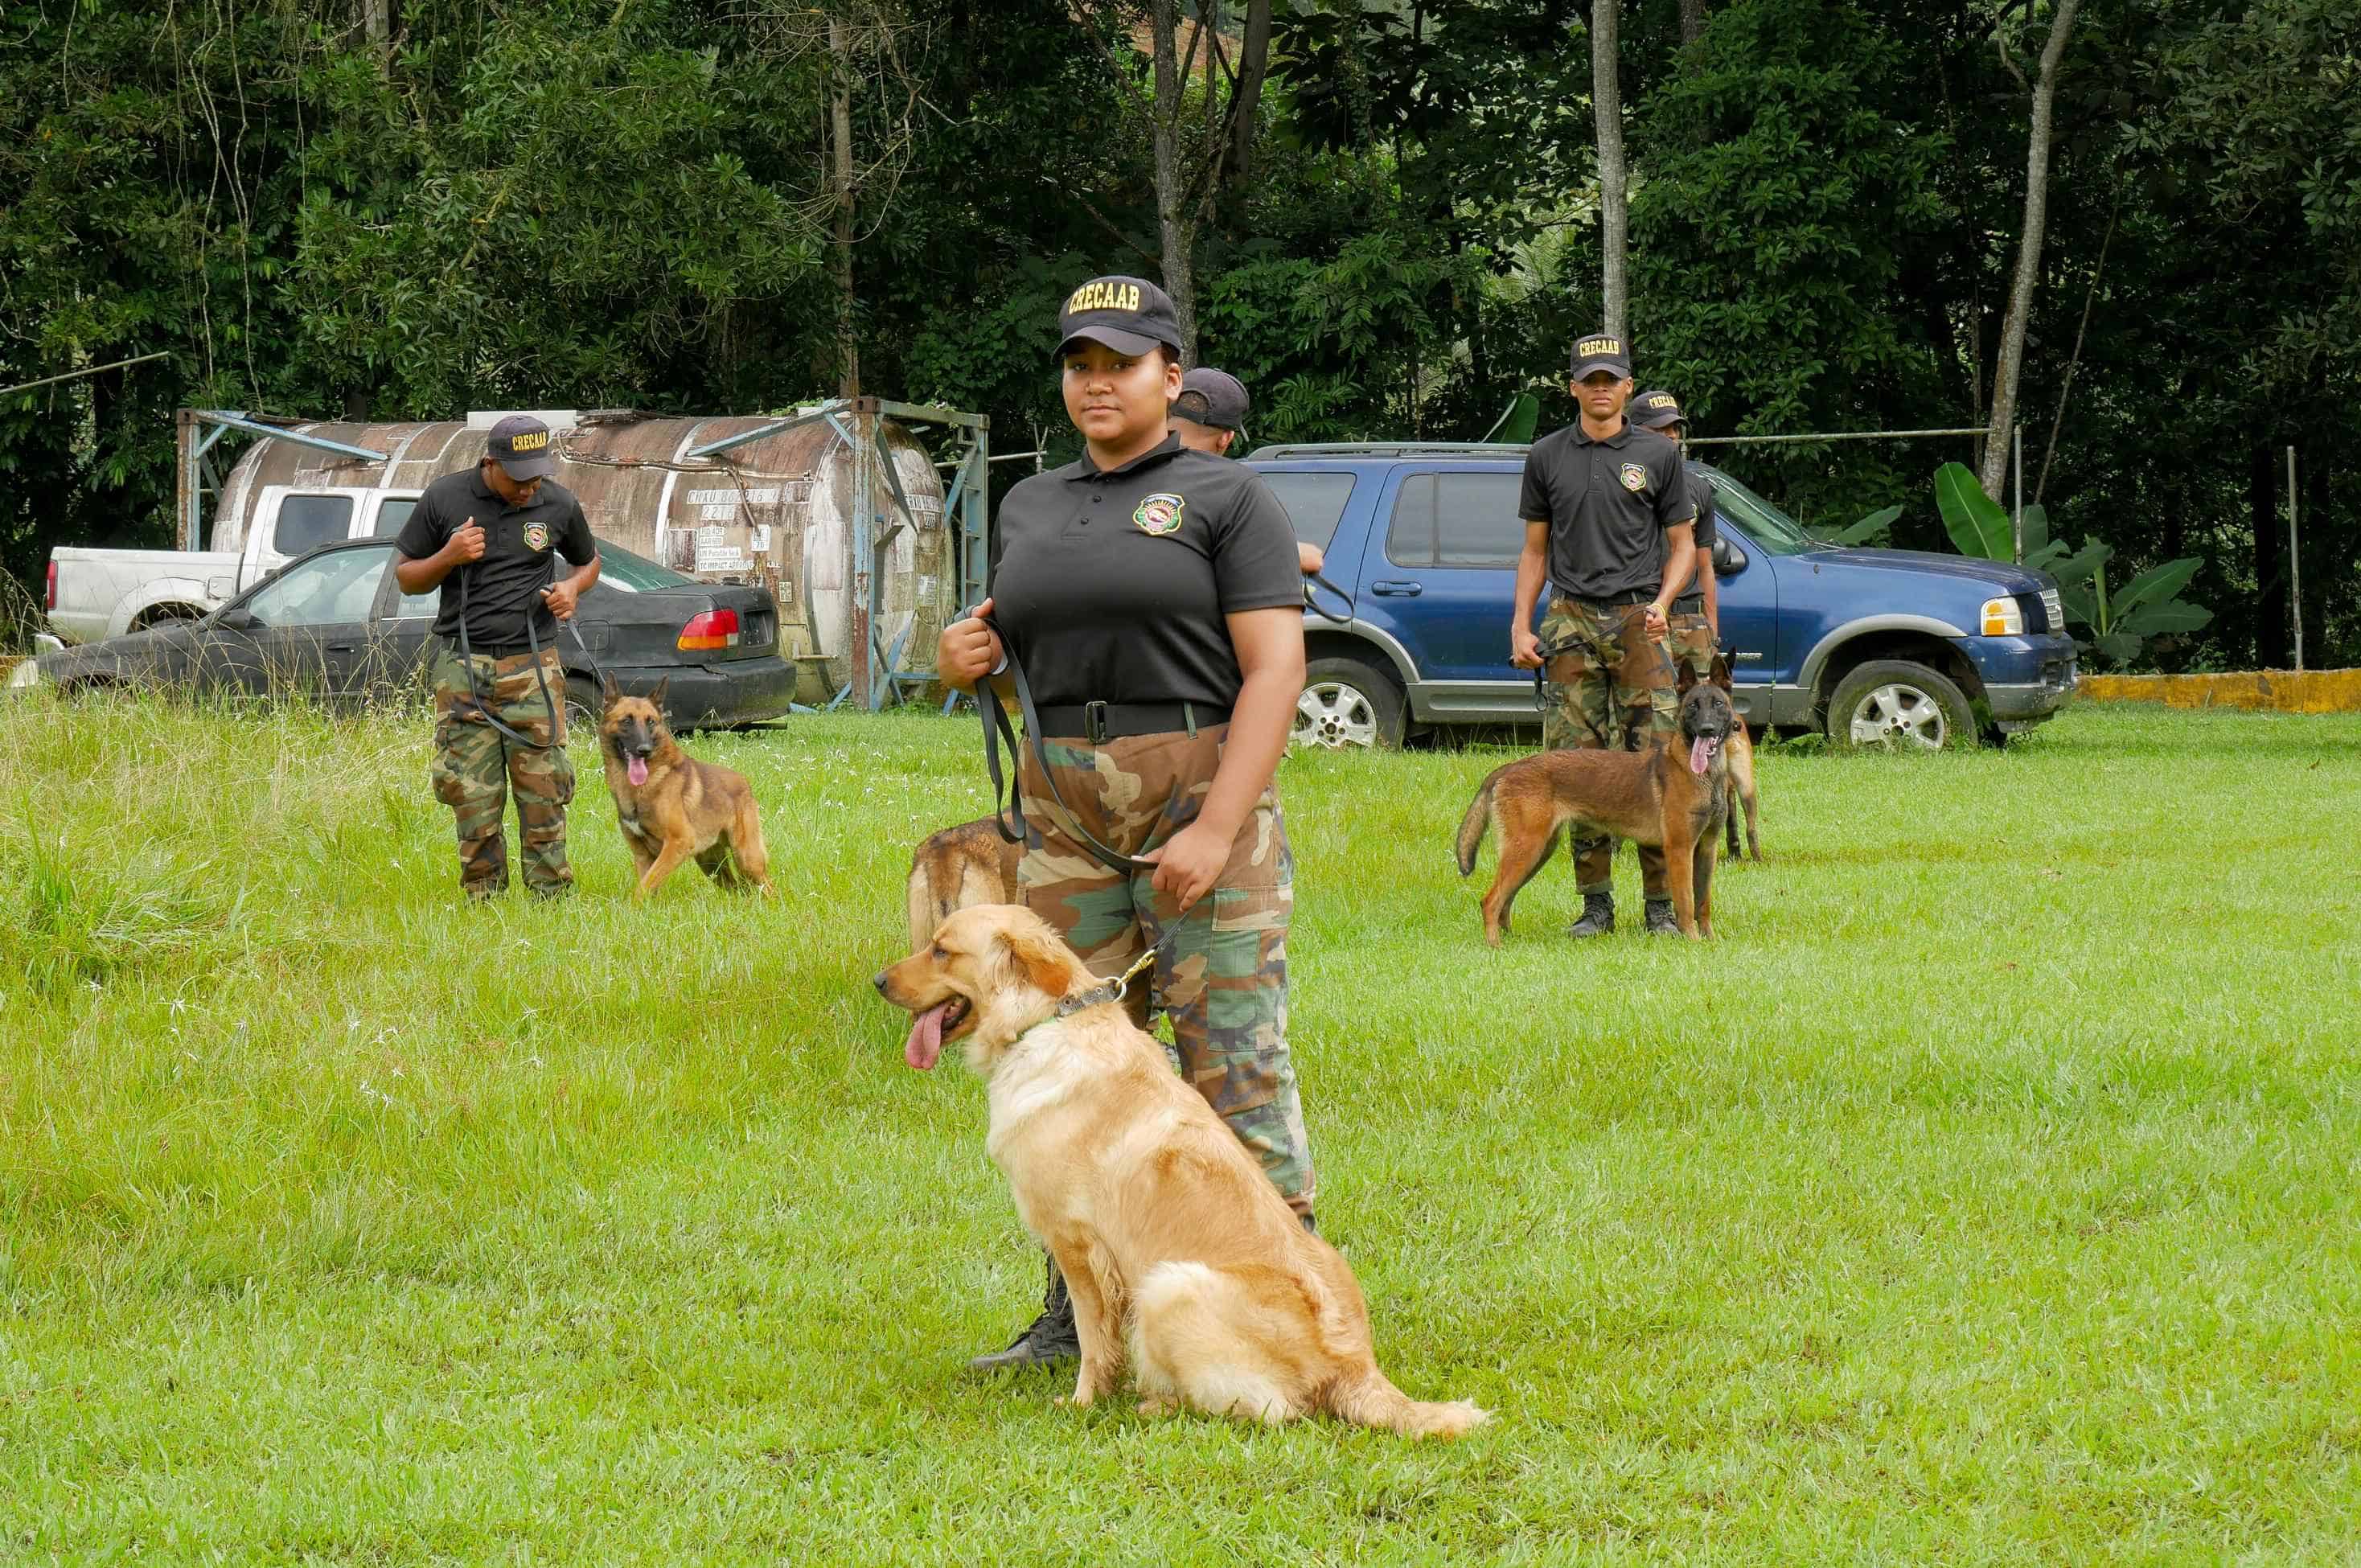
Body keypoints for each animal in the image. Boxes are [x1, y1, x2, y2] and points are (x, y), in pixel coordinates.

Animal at [599, 675, 774, 906]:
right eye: (627, 721)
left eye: (651, 722)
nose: (644, 750)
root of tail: (744, 782)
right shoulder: (643, 855)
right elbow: (647, 885)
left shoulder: (677, 843)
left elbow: (644, 887)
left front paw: (632, 910)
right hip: (711, 864)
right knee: (738, 889)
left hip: (747, 859)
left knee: (768, 887)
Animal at [1454, 675, 1737, 944]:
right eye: (1693, 706)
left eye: (1718, 704)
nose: (1707, 729)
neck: (1704, 775)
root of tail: (1509, 768)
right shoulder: (1680, 850)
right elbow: (1687, 903)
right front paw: (1693, 942)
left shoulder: (1707, 849)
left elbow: (1703, 902)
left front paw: (1710, 940)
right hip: (1526, 849)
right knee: (1491, 901)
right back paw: (1496, 947)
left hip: (1537, 852)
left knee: (1506, 900)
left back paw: (1511, 942)